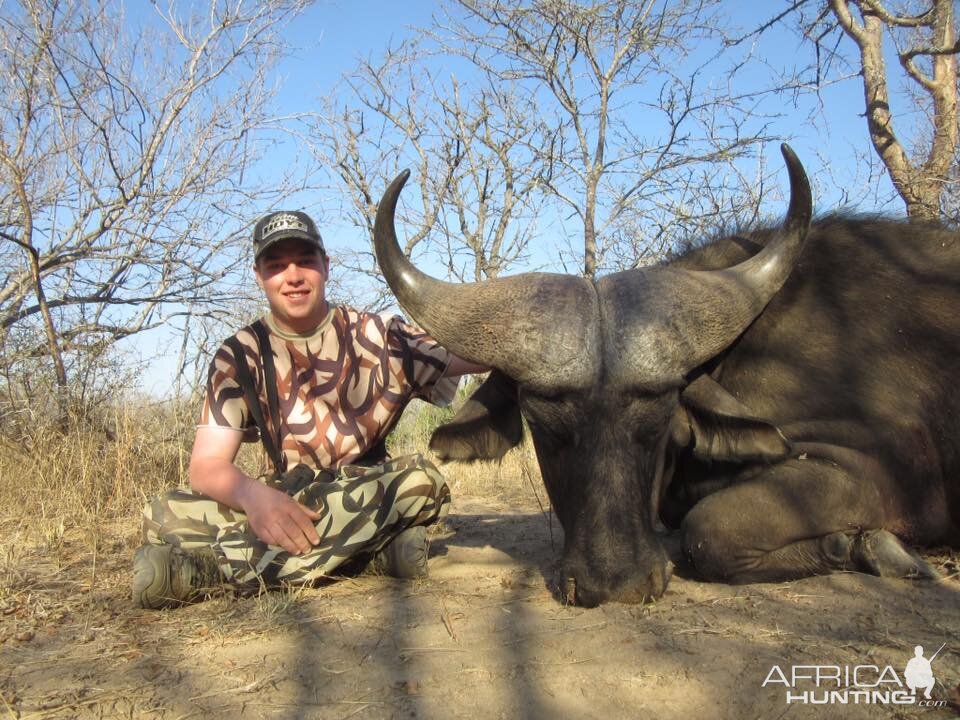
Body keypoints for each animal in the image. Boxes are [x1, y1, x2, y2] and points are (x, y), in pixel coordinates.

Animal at [374, 146, 960, 608]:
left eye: (659, 416)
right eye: (545, 424)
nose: (615, 586)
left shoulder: (860, 468)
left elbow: (710, 529)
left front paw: (872, 547)